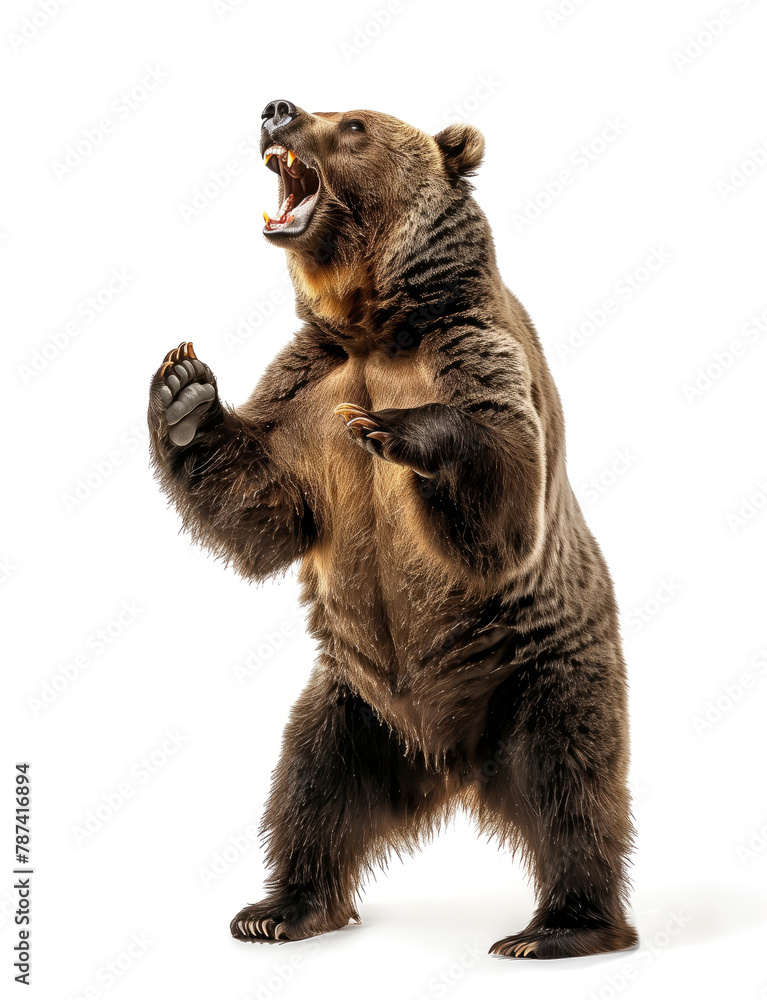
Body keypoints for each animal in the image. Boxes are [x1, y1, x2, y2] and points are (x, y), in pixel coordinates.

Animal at [147, 98, 638, 960]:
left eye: (352, 124)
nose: (276, 107)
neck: (376, 328)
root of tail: (453, 762)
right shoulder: (304, 386)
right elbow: (266, 509)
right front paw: (183, 389)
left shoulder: (475, 349)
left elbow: (505, 497)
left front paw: (399, 430)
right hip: (354, 702)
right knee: (310, 784)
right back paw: (279, 908)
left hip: (541, 670)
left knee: (571, 783)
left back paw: (557, 928)